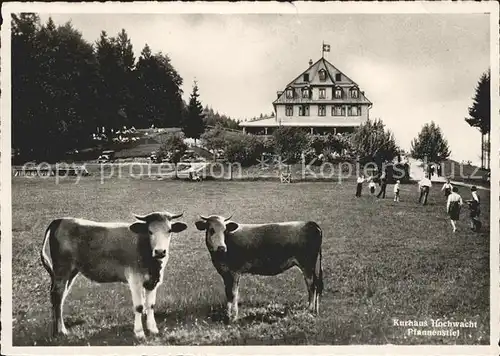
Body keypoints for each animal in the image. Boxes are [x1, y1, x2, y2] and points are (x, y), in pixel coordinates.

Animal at [39, 211, 188, 340]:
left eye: (169, 230)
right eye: (150, 231)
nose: (160, 252)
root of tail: (60, 220)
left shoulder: (152, 281)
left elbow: (150, 305)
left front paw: (153, 329)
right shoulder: (135, 279)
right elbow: (139, 306)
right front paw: (139, 332)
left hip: (71, 271)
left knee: (60, 297)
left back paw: (58, 329)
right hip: (62, 268)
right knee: (57, 295)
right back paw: (60, 331)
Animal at [193, 214, 322, 322]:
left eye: (225, 231)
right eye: (211, 230)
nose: (221, 247)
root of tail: (309, 223)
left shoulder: (234, 272)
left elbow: (233, 293)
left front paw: (233, 316)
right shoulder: (226, 274)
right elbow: (228, 293)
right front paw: (228, 314)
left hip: (307, 265)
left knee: (312, 286)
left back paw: (310, 309)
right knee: (315, 285)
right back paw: (315, 310)